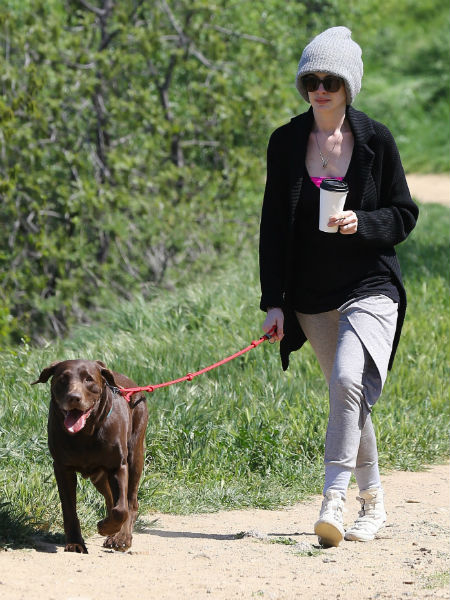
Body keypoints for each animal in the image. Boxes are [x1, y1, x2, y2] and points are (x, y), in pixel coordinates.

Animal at [32, 360, 148, 552]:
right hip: (99, 477)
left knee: (130, 501)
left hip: (135, 456)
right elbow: (69, 508)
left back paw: (121, 537)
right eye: (62, 379)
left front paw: (106, 528)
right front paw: (75, 543)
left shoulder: (118, 465)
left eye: (89, 379)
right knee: (110, 498)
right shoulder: (62, 468)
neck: (85, 434)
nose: (74, 397)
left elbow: (121, 509)